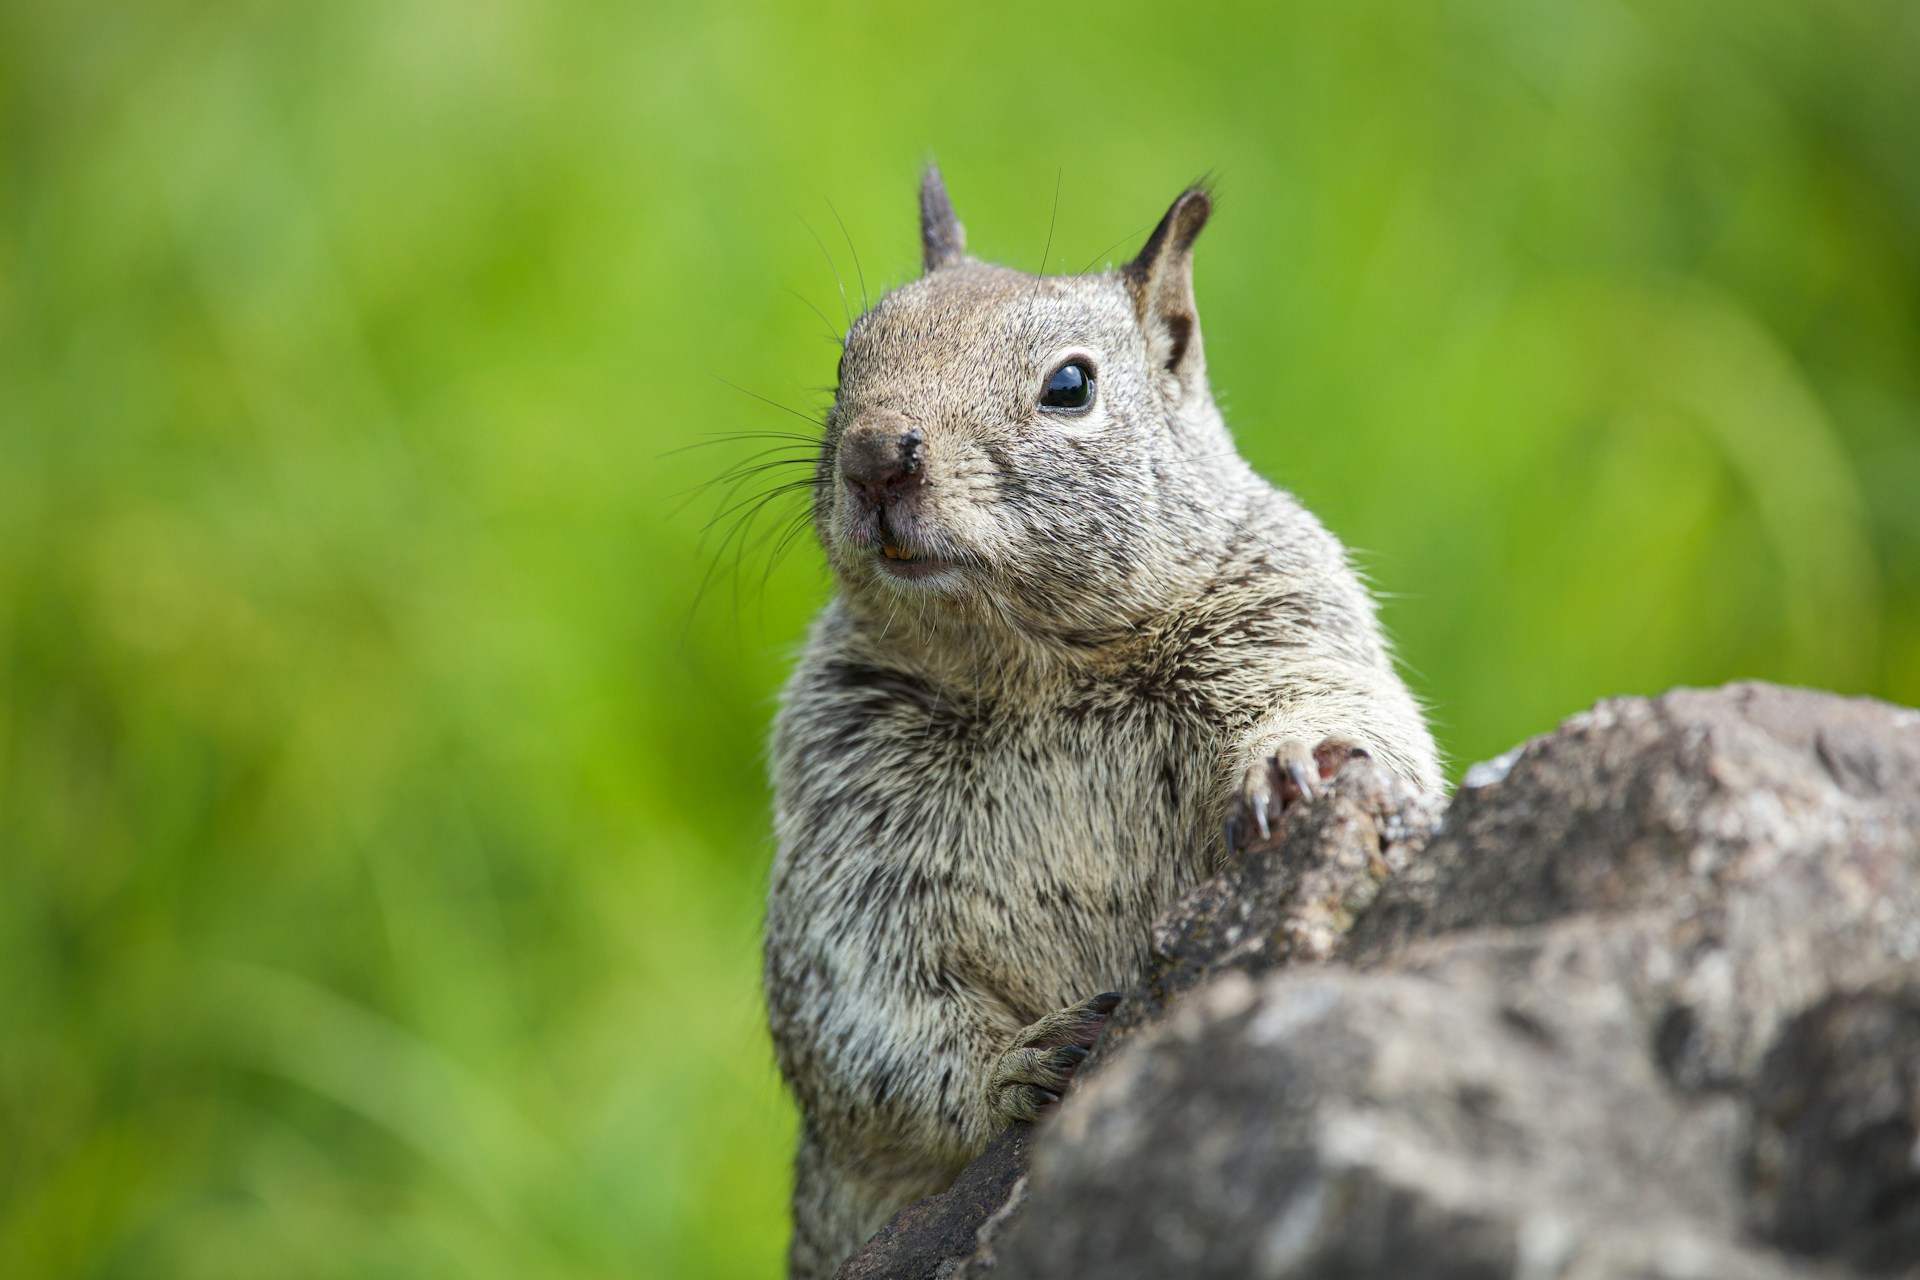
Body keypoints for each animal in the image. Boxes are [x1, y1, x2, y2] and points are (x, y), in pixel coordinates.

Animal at [762, 168, 1441, 1278]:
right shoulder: (844, 829)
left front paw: (1300, 759)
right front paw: (1019, 1064)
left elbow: (1352, 712)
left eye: (1071, 386)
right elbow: (864, 1008)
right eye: (847, 355)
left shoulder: (1293, 614)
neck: (1039, 674)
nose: (873, 455)